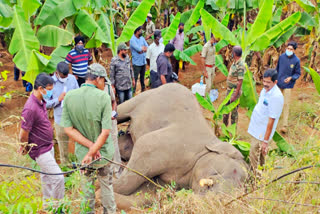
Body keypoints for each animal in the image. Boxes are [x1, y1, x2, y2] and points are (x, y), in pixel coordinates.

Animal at [114, 84, 249, 208]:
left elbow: (148, 193)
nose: (218, 200)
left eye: (240, 187)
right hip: (144, 97)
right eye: (234, 170)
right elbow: (143, 146)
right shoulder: (164, 145)